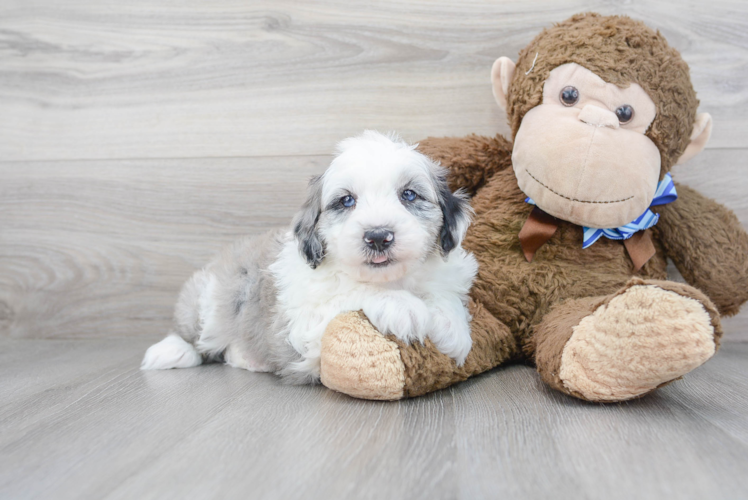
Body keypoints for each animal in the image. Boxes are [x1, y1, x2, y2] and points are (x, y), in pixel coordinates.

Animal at [143, 130, 476, 382]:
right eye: (346, 201)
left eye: (408, 195)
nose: (379, 236)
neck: (392, 279)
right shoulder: (304, 322)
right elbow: (353, 291)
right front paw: (402, 306)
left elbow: (444, 295)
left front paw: (452, 326)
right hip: (207, 299)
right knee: (190, 333)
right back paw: (171, 351)